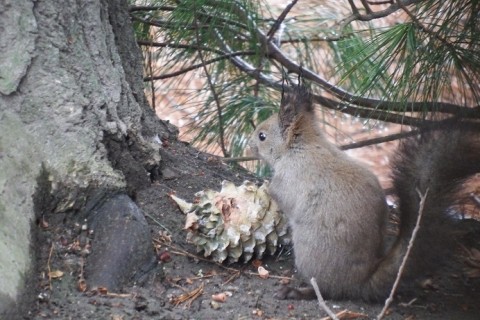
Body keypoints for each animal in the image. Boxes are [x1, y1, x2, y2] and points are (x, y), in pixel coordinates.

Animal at [249, 84, 480, 300]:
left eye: (262, 136)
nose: (250, 145)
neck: (300, 147)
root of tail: (360, 282)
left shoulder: (292, 177)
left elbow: (280, 194)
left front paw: (264, 187)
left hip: (310, 255)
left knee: (327, 290)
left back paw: (298, 291)